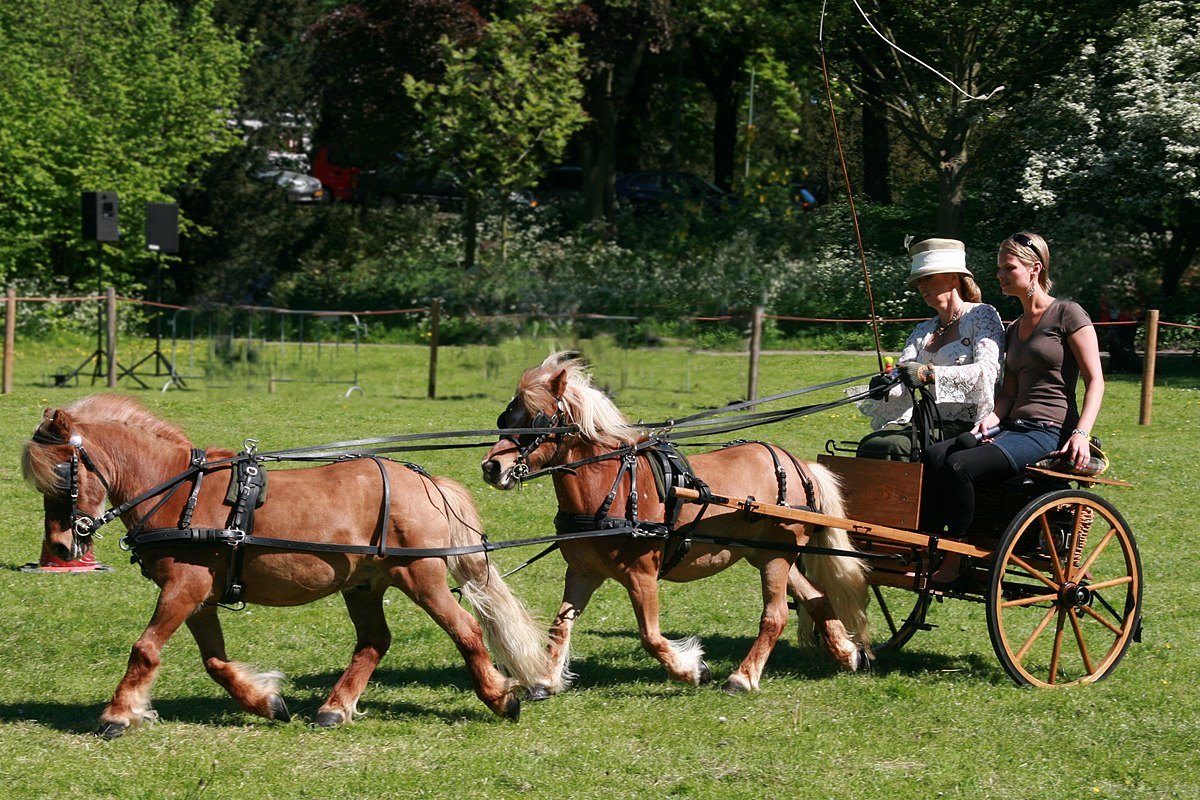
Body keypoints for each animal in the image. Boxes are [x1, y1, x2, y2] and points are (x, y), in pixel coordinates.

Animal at [21, 393, 547, 738]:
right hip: (363, 585)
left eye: (64, 471)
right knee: (374, 642)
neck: (177, 490)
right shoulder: (198, 596)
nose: (62, 547)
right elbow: (215, 661)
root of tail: (427, 481)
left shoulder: (184, 588)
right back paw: (334, 708)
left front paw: (118, 714)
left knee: (466, 630)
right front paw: (266, 702)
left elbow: (145, 649)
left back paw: (501, 697)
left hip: (421, 578)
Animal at [480, 352, 873, 695]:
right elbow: (560, 626)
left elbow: (651, 637)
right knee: (817, 597)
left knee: (775, 615)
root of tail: (800, 465)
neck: (613, 486)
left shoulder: (641, 575)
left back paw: (742, 678)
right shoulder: (582, 572)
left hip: (777, 557)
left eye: (538, 419)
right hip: (767, 554)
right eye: (505, 418)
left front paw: (693, 670)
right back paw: (848, 654)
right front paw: (546, 680)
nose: (491, 467)